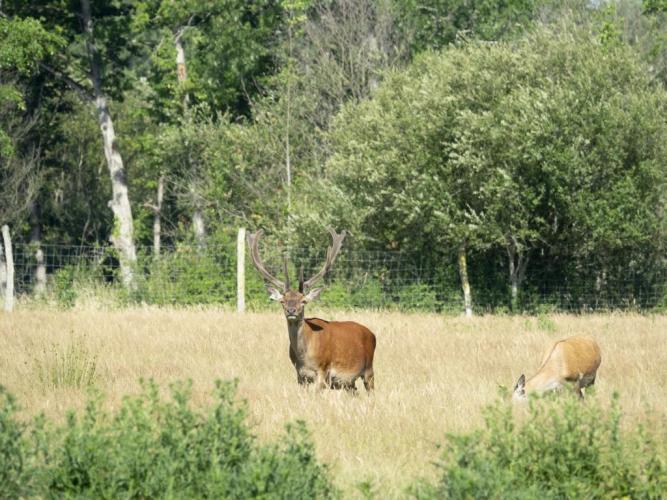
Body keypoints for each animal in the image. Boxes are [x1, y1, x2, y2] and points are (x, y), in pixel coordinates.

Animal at [248, 229, 378, 392]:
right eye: (283, 301)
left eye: (303, 301)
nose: (291, 311)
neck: (304, 357)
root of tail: (372, 334)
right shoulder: (300, 375)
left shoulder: (323, 369)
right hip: (347, 382)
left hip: (369, 369)